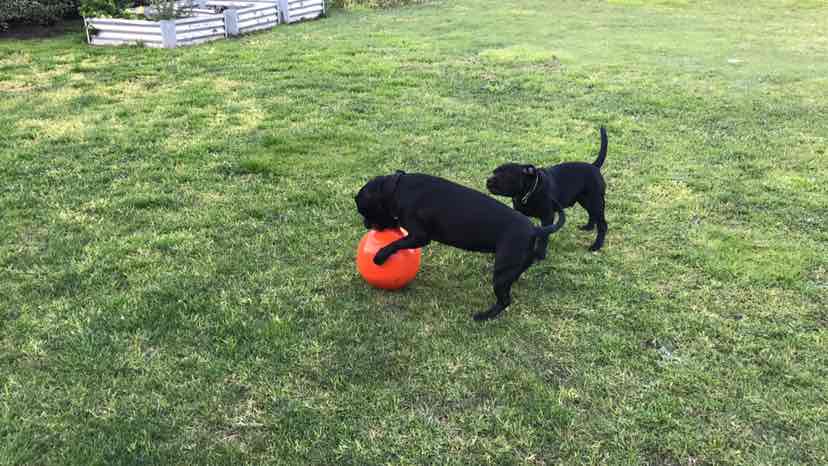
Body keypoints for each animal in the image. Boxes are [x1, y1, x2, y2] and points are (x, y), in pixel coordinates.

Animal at [352, 171, 568, 320]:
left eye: (364, 210)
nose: (366, 225)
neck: (397, 188)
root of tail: (535, 230)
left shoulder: (420, 237)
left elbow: (396, 243)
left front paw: (380, 255)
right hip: (509, 270)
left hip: (500, 275)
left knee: (505, 301)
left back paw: (484, 316)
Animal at [486, 126, 608, 255]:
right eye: (494, 172)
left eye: (505, 175)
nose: (488, 180)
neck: (529, 191)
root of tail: (594, 166)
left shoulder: (547, 217)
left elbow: (543, 237)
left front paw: (539, 253)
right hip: (586, 201)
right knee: (592, 215)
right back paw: (588, 227)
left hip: (595, 202)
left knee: (602, 225)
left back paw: (596, 246)